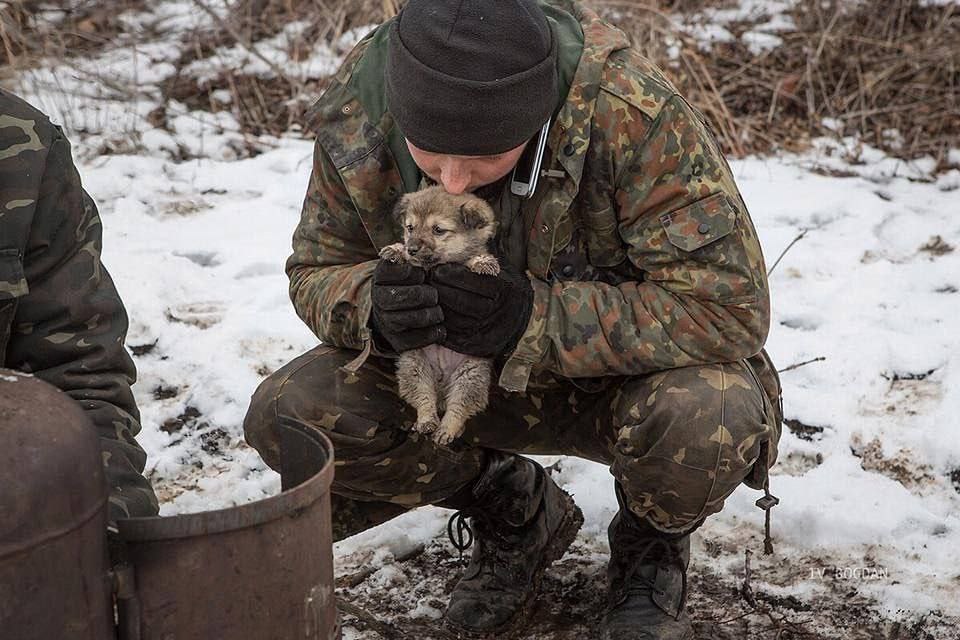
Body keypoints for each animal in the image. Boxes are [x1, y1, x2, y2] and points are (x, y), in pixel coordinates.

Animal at [378, 185, 498, 444]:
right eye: (410, 227)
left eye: (438, 230)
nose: (412, 248)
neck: (435, 265)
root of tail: (442, 385)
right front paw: (396, 250)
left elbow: (473, 259)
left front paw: (483, 262)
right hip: (414, 367)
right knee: (424, 400)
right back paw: (427, 422)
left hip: (470, 377)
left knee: (458, 409)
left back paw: (446, 430)